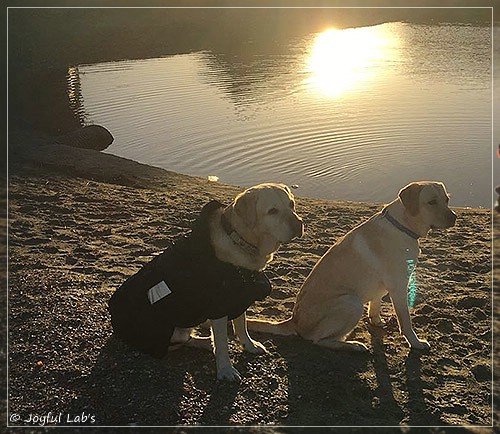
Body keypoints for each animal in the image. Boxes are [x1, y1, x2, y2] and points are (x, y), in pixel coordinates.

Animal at [248, 181, 456, 350]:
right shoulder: (399, 286)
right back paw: (353, 345)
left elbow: (375, 304)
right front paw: (415, 342)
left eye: (447, 200)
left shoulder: (382, 286)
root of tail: (294, 321)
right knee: (319, 340)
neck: (402, 225)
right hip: (351, 302)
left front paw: (376, 321)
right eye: (431, 202)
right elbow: (406, 321)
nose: (454, 217)